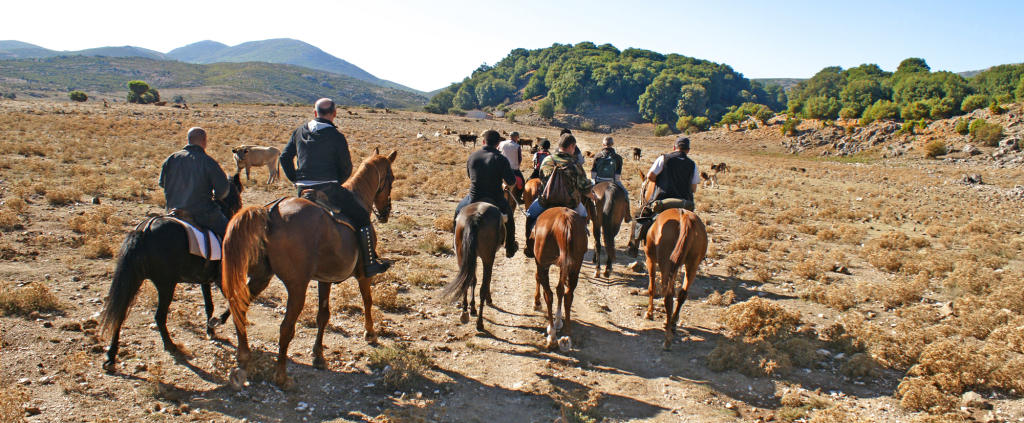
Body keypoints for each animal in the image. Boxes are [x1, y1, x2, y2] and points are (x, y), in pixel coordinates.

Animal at [100, 173, 245, 370]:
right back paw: (171, 346)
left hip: (134, 281)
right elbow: (233, 301)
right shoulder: (221, 280)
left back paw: (111, 355)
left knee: (120, 314)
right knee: (159, 317)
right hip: (166, 285)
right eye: (238, 194)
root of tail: (144, 231)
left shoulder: (205, 280)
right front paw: (217, 322)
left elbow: (209, 305)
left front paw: (210, 330)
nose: (239, 209)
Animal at [222, 147, 397, 389]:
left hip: (261, 277)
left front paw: (318, 356)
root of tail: (270, 212)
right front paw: (370, 333)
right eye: (392, 178)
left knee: (239, 306)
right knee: (286, 327)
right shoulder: (363, 274)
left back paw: (243, 359)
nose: (385, 212)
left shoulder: (325, 278)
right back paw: (282, 377)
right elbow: (367, 301)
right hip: (297, 286)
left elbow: (323, 315)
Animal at [440, 200, 503, 329]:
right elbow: (486, 281)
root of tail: (475, 216)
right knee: (482, 288)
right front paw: (487, 299)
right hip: (488, 258)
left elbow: (472, 279)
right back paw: (479, 323)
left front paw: (472, 306)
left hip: (461, 255)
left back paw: (465, 308)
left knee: (466, 279)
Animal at [532, 206, 589, 350]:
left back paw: (552, 335)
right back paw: (567, 333)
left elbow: (539, 279)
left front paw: (537, 302)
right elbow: (560, 290)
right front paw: (558, 320)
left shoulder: (540, 263)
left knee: (549, 294)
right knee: (568, 294)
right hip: (575, 264)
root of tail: (564, 218)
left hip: (543, 264)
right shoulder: (565, 265)